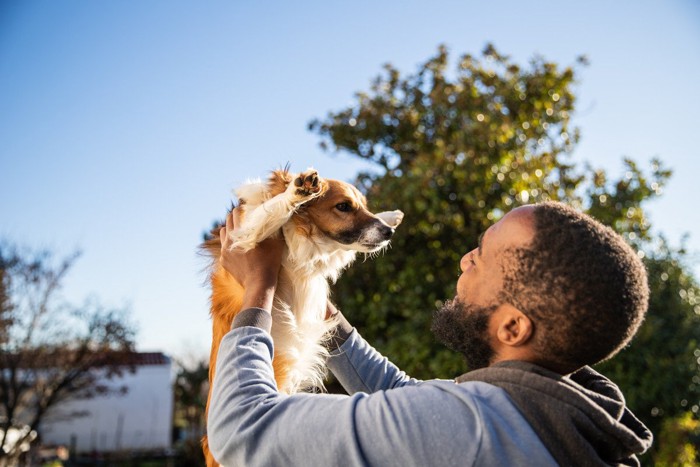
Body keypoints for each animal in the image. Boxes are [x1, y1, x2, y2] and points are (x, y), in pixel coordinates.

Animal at [200, 166, 402, 466]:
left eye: (365, 206)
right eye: (344, 207)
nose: (388, 232)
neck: (297, 238)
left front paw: (391, 215)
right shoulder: (245, 237)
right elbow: (269, 211)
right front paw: (297, 191)